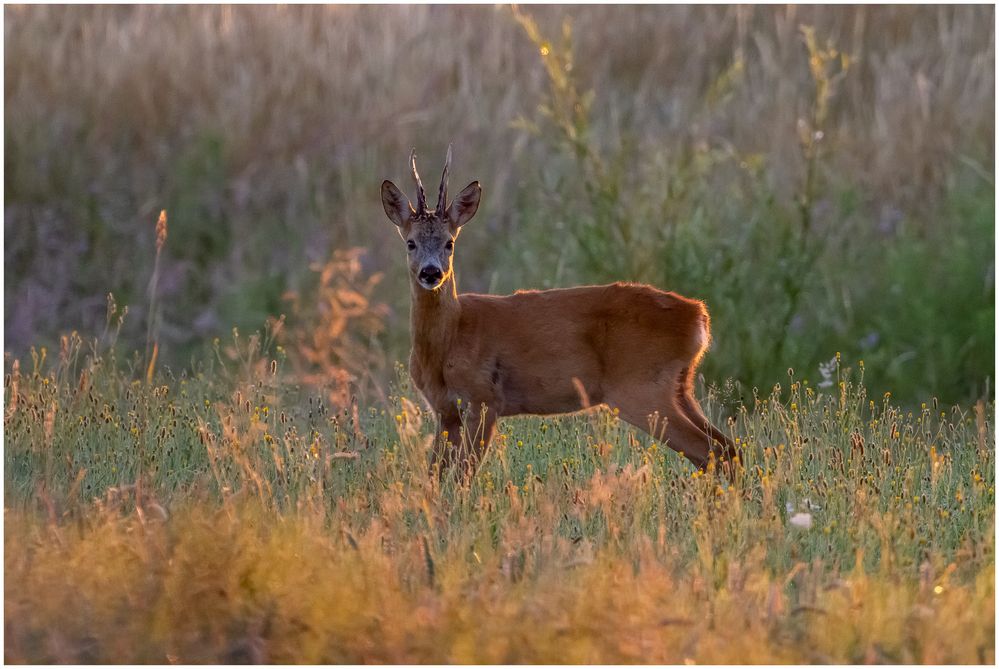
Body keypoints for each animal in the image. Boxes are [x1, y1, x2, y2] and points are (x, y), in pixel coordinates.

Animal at [378, 149, 740, 478]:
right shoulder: (444, 410)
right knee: (727, 447)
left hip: (642, 387)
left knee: (713, 450)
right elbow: (436, 476)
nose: (431, 273)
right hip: (680, 386)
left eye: (449, 243)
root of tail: (699, 316)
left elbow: (462, 475)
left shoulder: (485, 399)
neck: (450, 338)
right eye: (410, 243)